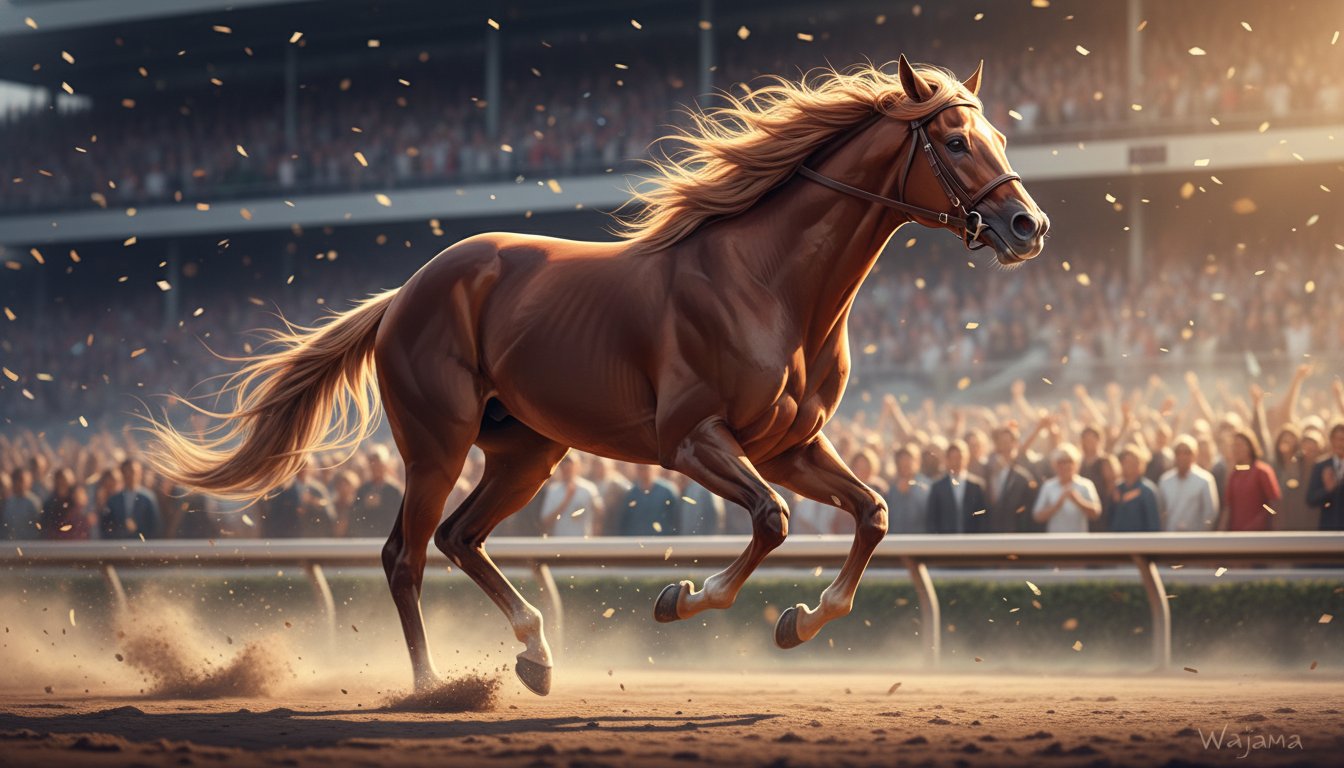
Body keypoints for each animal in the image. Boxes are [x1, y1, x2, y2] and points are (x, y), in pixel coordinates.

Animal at [143, 56, 1049, 697]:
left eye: (1002, 139)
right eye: (957, 142)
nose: (1027, 225)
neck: (771, 283)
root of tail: (407, 291)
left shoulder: (789, 444)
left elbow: (873, 513)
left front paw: (800, 619)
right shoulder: (691, 440)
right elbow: (773, 518)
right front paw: (683, 597)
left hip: (527, 449)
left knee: (459, 537)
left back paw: (536, 654)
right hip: (436, 441)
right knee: (406, 553)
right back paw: (431, 685)